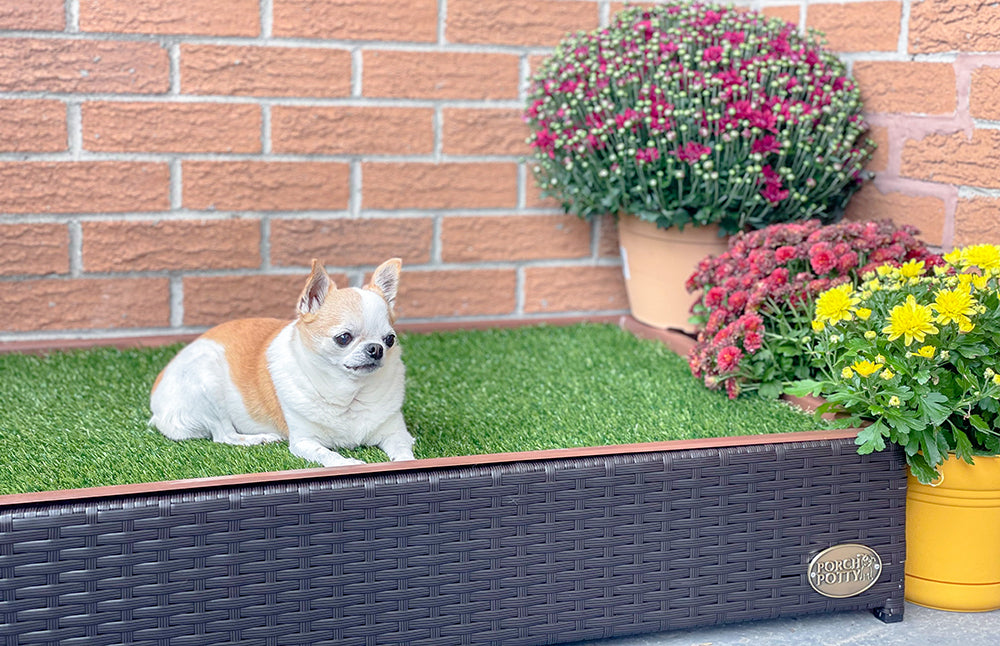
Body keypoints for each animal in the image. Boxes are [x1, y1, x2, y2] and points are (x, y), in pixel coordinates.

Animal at [149, 260, 414, 468]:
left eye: (390, 340)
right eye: (343, 338)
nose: (376, 349)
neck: (349, 395)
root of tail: (156, 404)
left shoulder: (395, 432)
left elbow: (404, 450)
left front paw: (406, 462)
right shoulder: (304, 441)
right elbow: (328, 455)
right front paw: (348, 463)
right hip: (207, 381)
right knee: (224, 435)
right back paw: (259, 438)